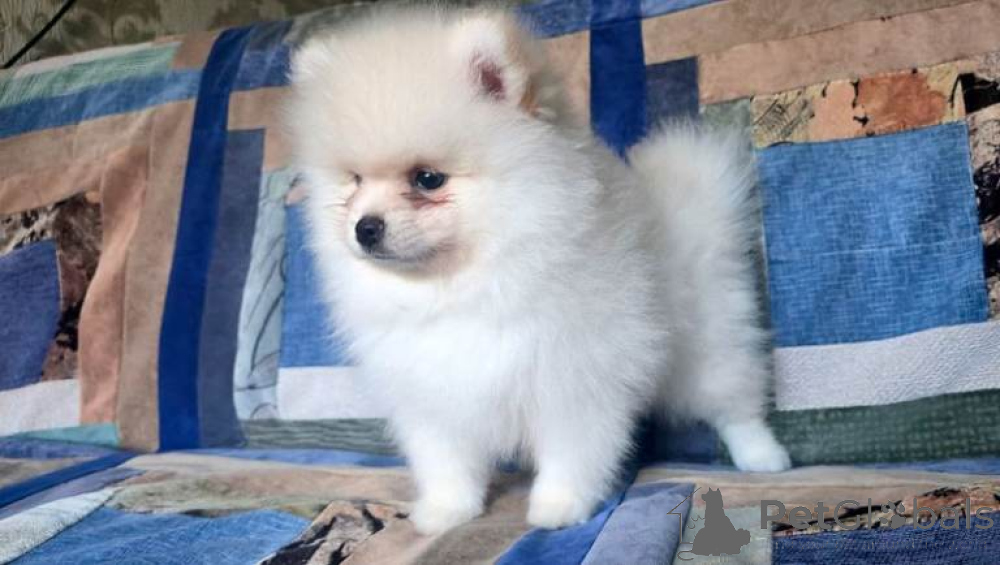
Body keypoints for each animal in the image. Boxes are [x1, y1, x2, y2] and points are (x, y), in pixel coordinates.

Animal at [286, 5, 790, 535]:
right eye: (354, 181)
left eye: (427, 179)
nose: (364, 227)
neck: (463, 285)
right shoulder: (432, 393)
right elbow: (446, 459)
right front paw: (447, 509)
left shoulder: (575, 374)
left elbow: (574, 449)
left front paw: (559, 504)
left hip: (709, 344)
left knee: (735, 401)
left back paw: (762, 456)